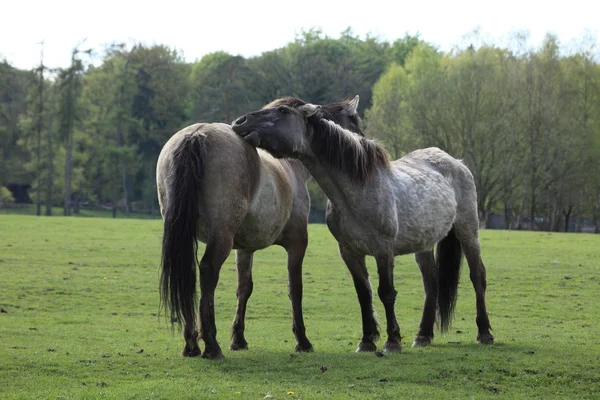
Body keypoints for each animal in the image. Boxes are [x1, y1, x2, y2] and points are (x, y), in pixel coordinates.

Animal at [156, 97, 360, 360]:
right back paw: (211, 345)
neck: (290, 167)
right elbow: (295, 288)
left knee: (189, 276)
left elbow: (244, 288)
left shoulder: (244, 249)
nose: (241, 121)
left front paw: (238, 339)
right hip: (221, 237)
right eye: (353, 122)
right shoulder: (298, 243)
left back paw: (192, 344)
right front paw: (302, 340)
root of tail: (196, 134)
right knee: (208, 272)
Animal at [232, 97, 494, 354]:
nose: (239, 122)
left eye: (283, 111)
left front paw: (392, 341)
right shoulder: (350, 252)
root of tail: (455, 162)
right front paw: (367, 341)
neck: (358, 188)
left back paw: (485, 333)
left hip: (468, 232)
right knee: (431, 284)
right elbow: (363, 293)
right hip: (424, 244)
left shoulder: (383, 250)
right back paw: (423, 336)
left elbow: (386, 292)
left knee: (477, 276)